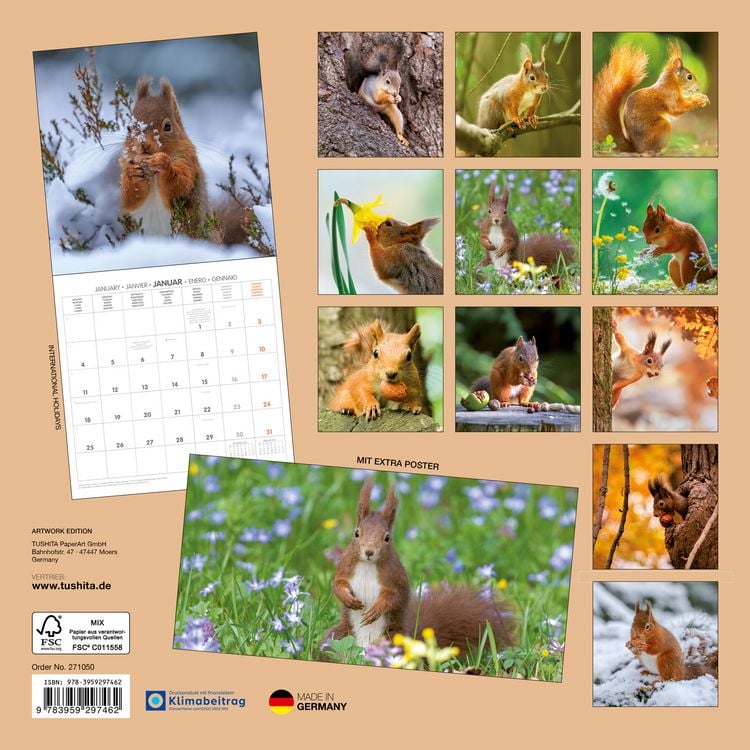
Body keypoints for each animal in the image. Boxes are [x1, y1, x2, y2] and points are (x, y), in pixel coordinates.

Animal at [328, 480, 517, 650]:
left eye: (387, 537)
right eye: (356, 533)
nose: (369, 552)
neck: (368, 565)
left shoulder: (396, 576)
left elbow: (396, 596)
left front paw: (376, 609)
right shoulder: (345, 567)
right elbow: (338, 584)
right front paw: (347, 599)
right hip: (335, 638)